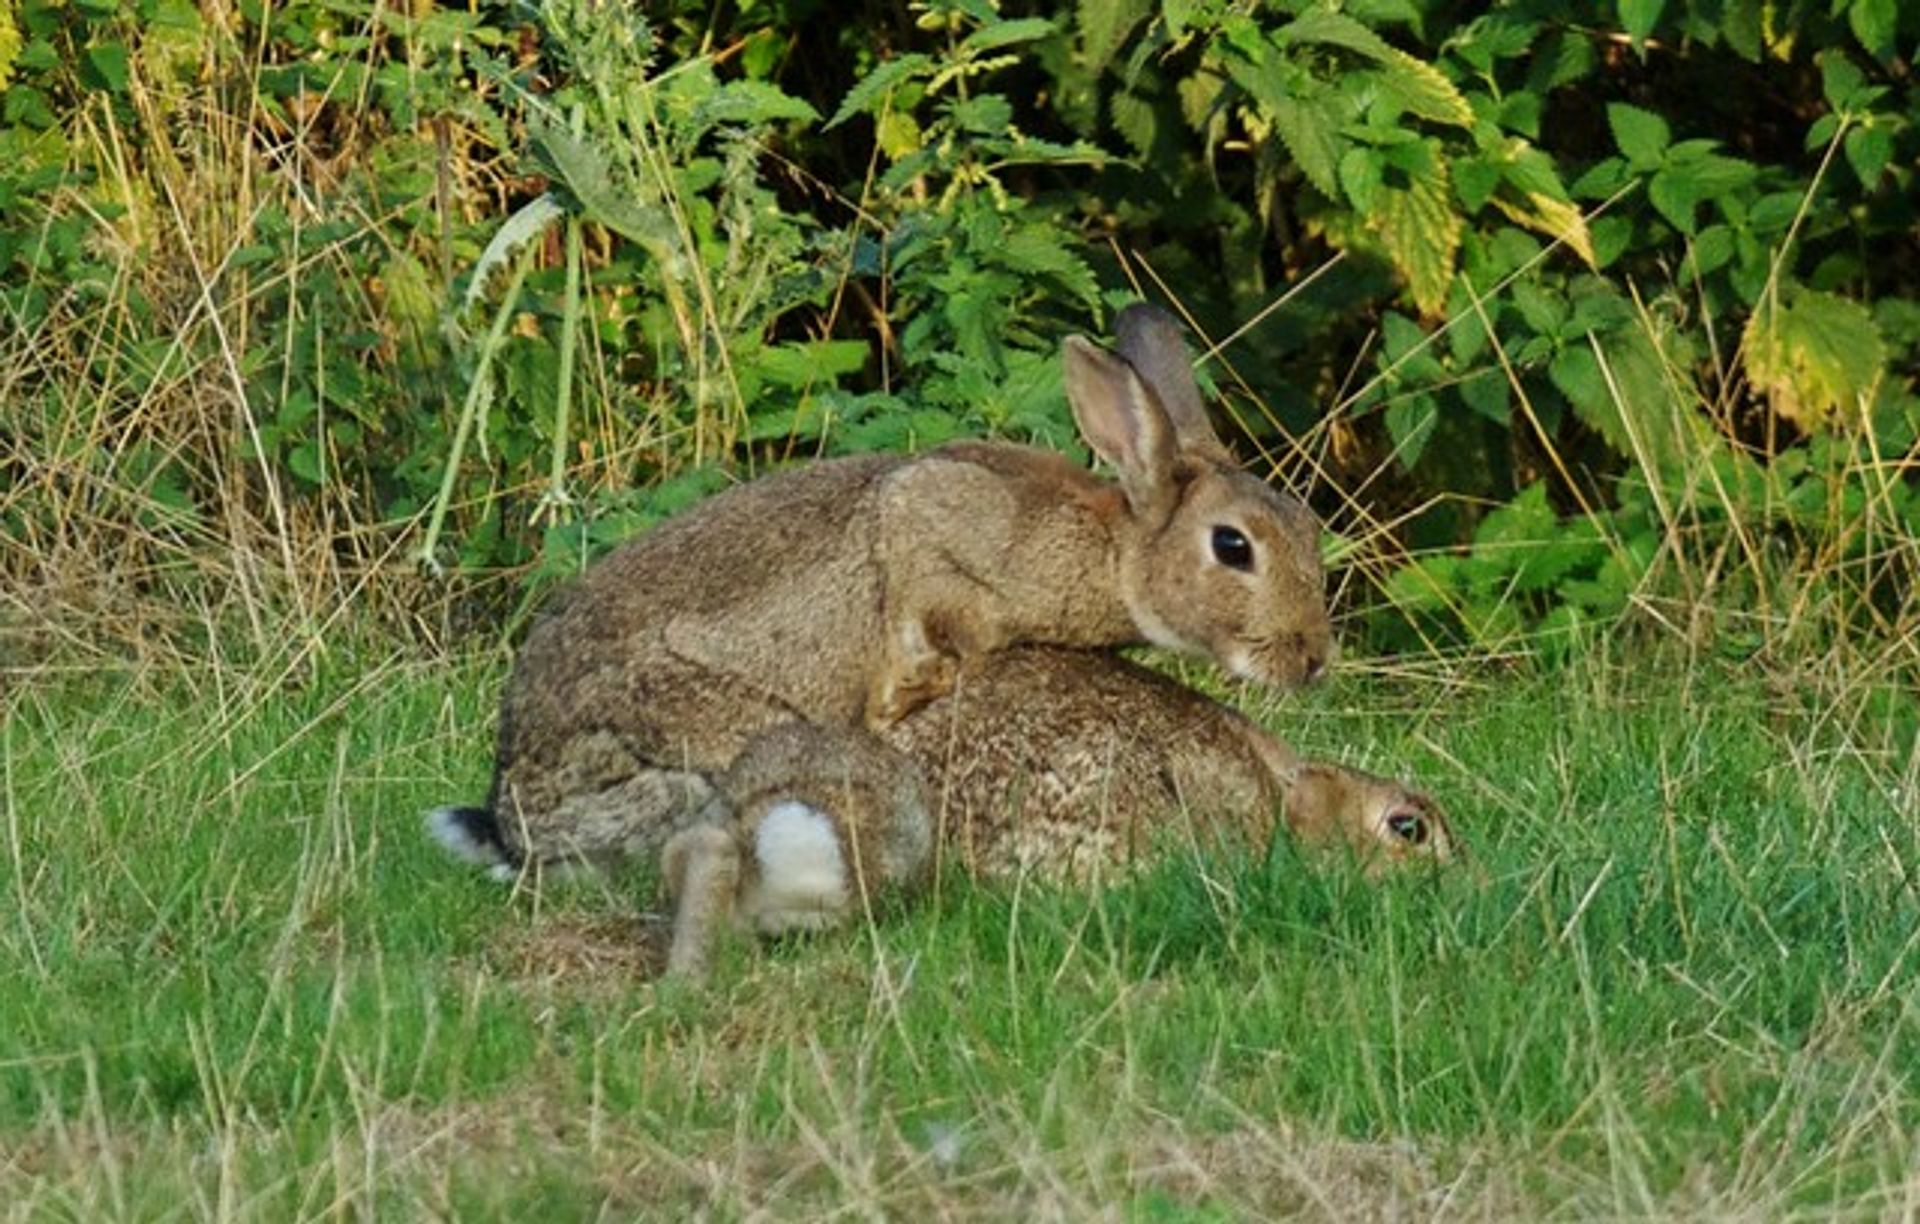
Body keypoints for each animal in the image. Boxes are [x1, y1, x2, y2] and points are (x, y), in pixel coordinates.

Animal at [430, 305, 1336, 978]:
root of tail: (514, 822)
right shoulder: (929, 548)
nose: (1312, 659)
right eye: (1233, 547)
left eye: (1307, 527)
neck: (1110, 551)